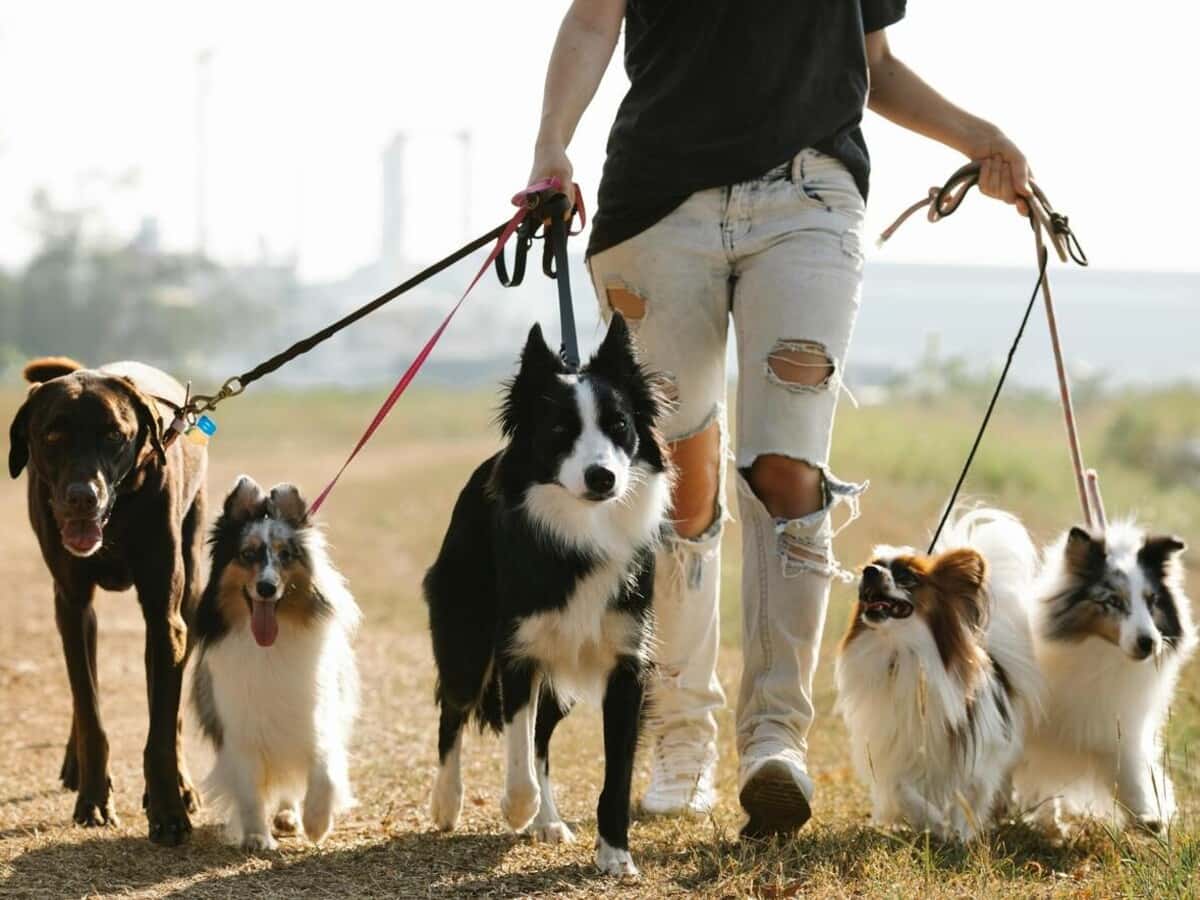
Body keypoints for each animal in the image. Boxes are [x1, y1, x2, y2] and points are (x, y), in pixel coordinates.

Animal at [189, 480, 360, 854]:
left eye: (285, 555)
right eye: (247, 555)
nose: (266, 588)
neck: (269, 648)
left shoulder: (316, 718)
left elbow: (324, 770)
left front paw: (316, 824)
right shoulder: (239, 731)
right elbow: (250, 793)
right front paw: (256, 837)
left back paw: (290, 816)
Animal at [420, 314, 667, 873]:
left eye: (620, 426)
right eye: (559, 432)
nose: (602, 477)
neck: (581, 531)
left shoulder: (628, 661)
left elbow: (615, 771)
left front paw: (615, 854)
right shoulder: (518, 649)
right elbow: (515, 745)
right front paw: (516, 807)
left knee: (541, 736)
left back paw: (548, 821)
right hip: (466, 632)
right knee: (455, 710)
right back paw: (448, 803)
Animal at [835, 511, 1041, 844]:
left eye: (907, 576)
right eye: (875, 564)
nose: (869, 571)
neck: (901, 652)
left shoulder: (976, 755)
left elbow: (966, 797)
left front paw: (958, 833)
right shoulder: (895, 748)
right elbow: (903, 790)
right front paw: (933, 824)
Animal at [1017, 525, 1195, 835]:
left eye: (1152, 601)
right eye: (1113, 601)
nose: (1149, 643)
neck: (1102, 656)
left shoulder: (1116, 726)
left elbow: (1131, 772)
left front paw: (1150, 816)